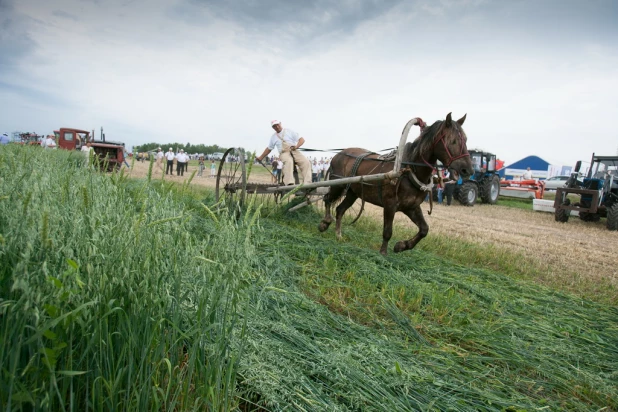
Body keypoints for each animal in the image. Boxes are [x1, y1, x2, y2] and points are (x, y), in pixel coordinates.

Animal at [318, 112, 472, 254]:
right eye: (453, 141)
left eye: (465, 139)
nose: (467, 170)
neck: (410, 170)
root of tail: (339, 154)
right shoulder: (390, 204)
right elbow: (387, 232)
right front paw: (383, 254)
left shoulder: (412, 207)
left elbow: (424, 229)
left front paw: (402, 246)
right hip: (337, 185)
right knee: (327, 199)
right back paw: (325, 222)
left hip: (352, 192)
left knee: (340, 209)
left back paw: (338, 235)